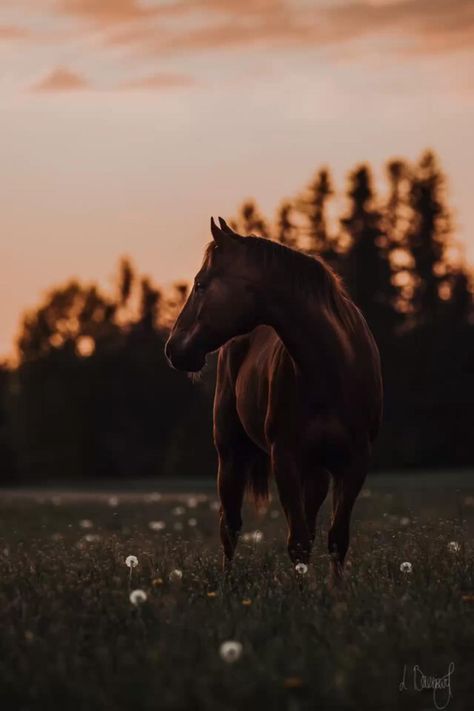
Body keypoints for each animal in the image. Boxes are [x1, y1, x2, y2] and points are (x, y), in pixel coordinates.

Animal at [165, 218, 384, 584]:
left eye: (200, 285)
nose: (172, 348)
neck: (332, 366)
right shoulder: (285, 458)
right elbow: (298, 542)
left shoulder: (354, 463)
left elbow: (336, 538)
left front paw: (336, 592)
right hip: (231, 455)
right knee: (230, 526)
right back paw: (227, 583)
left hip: (317, 473)